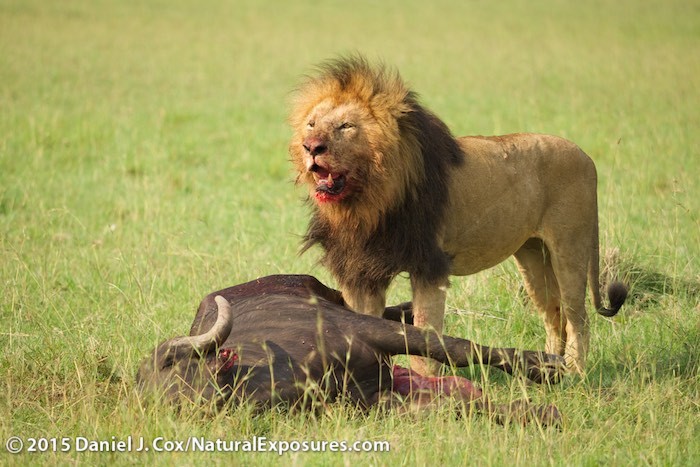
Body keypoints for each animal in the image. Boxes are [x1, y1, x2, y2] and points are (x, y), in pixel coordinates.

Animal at [288, 55, 627, 375]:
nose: (311, 147)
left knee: (577, 317)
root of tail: (586, 156)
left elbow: (425, 336)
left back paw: (575, 373)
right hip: (533, 255)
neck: (366, 203)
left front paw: (427, 383)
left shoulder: (429, 266)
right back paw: (548, 368)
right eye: (312, 124)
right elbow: (363, 328)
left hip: (570, 247)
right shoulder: (360, 273)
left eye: (346, 126)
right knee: (554, 316)